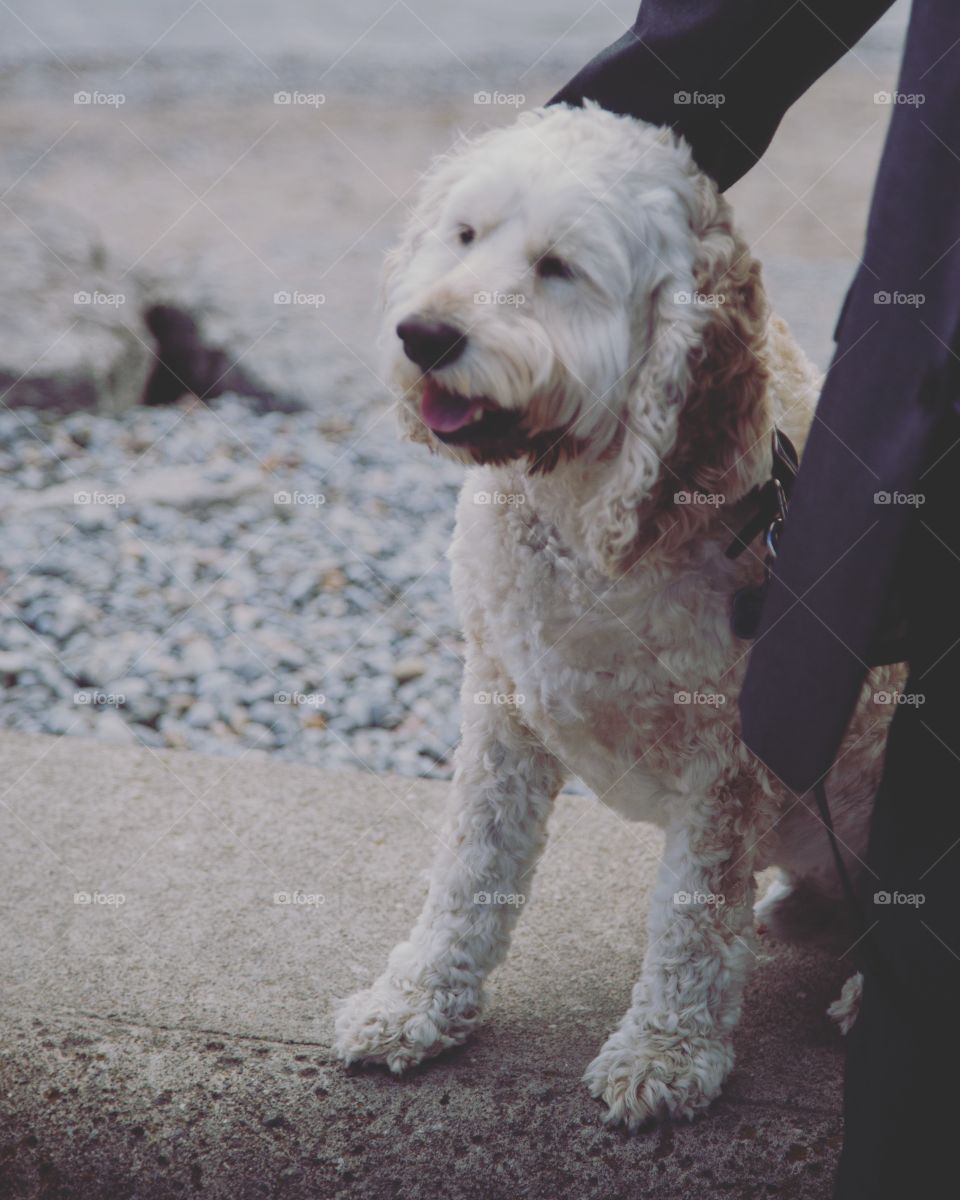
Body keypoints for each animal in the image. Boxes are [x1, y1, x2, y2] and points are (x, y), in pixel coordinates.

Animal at [336, 103, 902, 1123]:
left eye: (559, 266)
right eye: (465, 234)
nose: (421, 334)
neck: (582, 513)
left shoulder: (728, 764)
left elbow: (692, 922)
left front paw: (665, 1054)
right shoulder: (502, 708)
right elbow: (468, 872)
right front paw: (414, 1005)